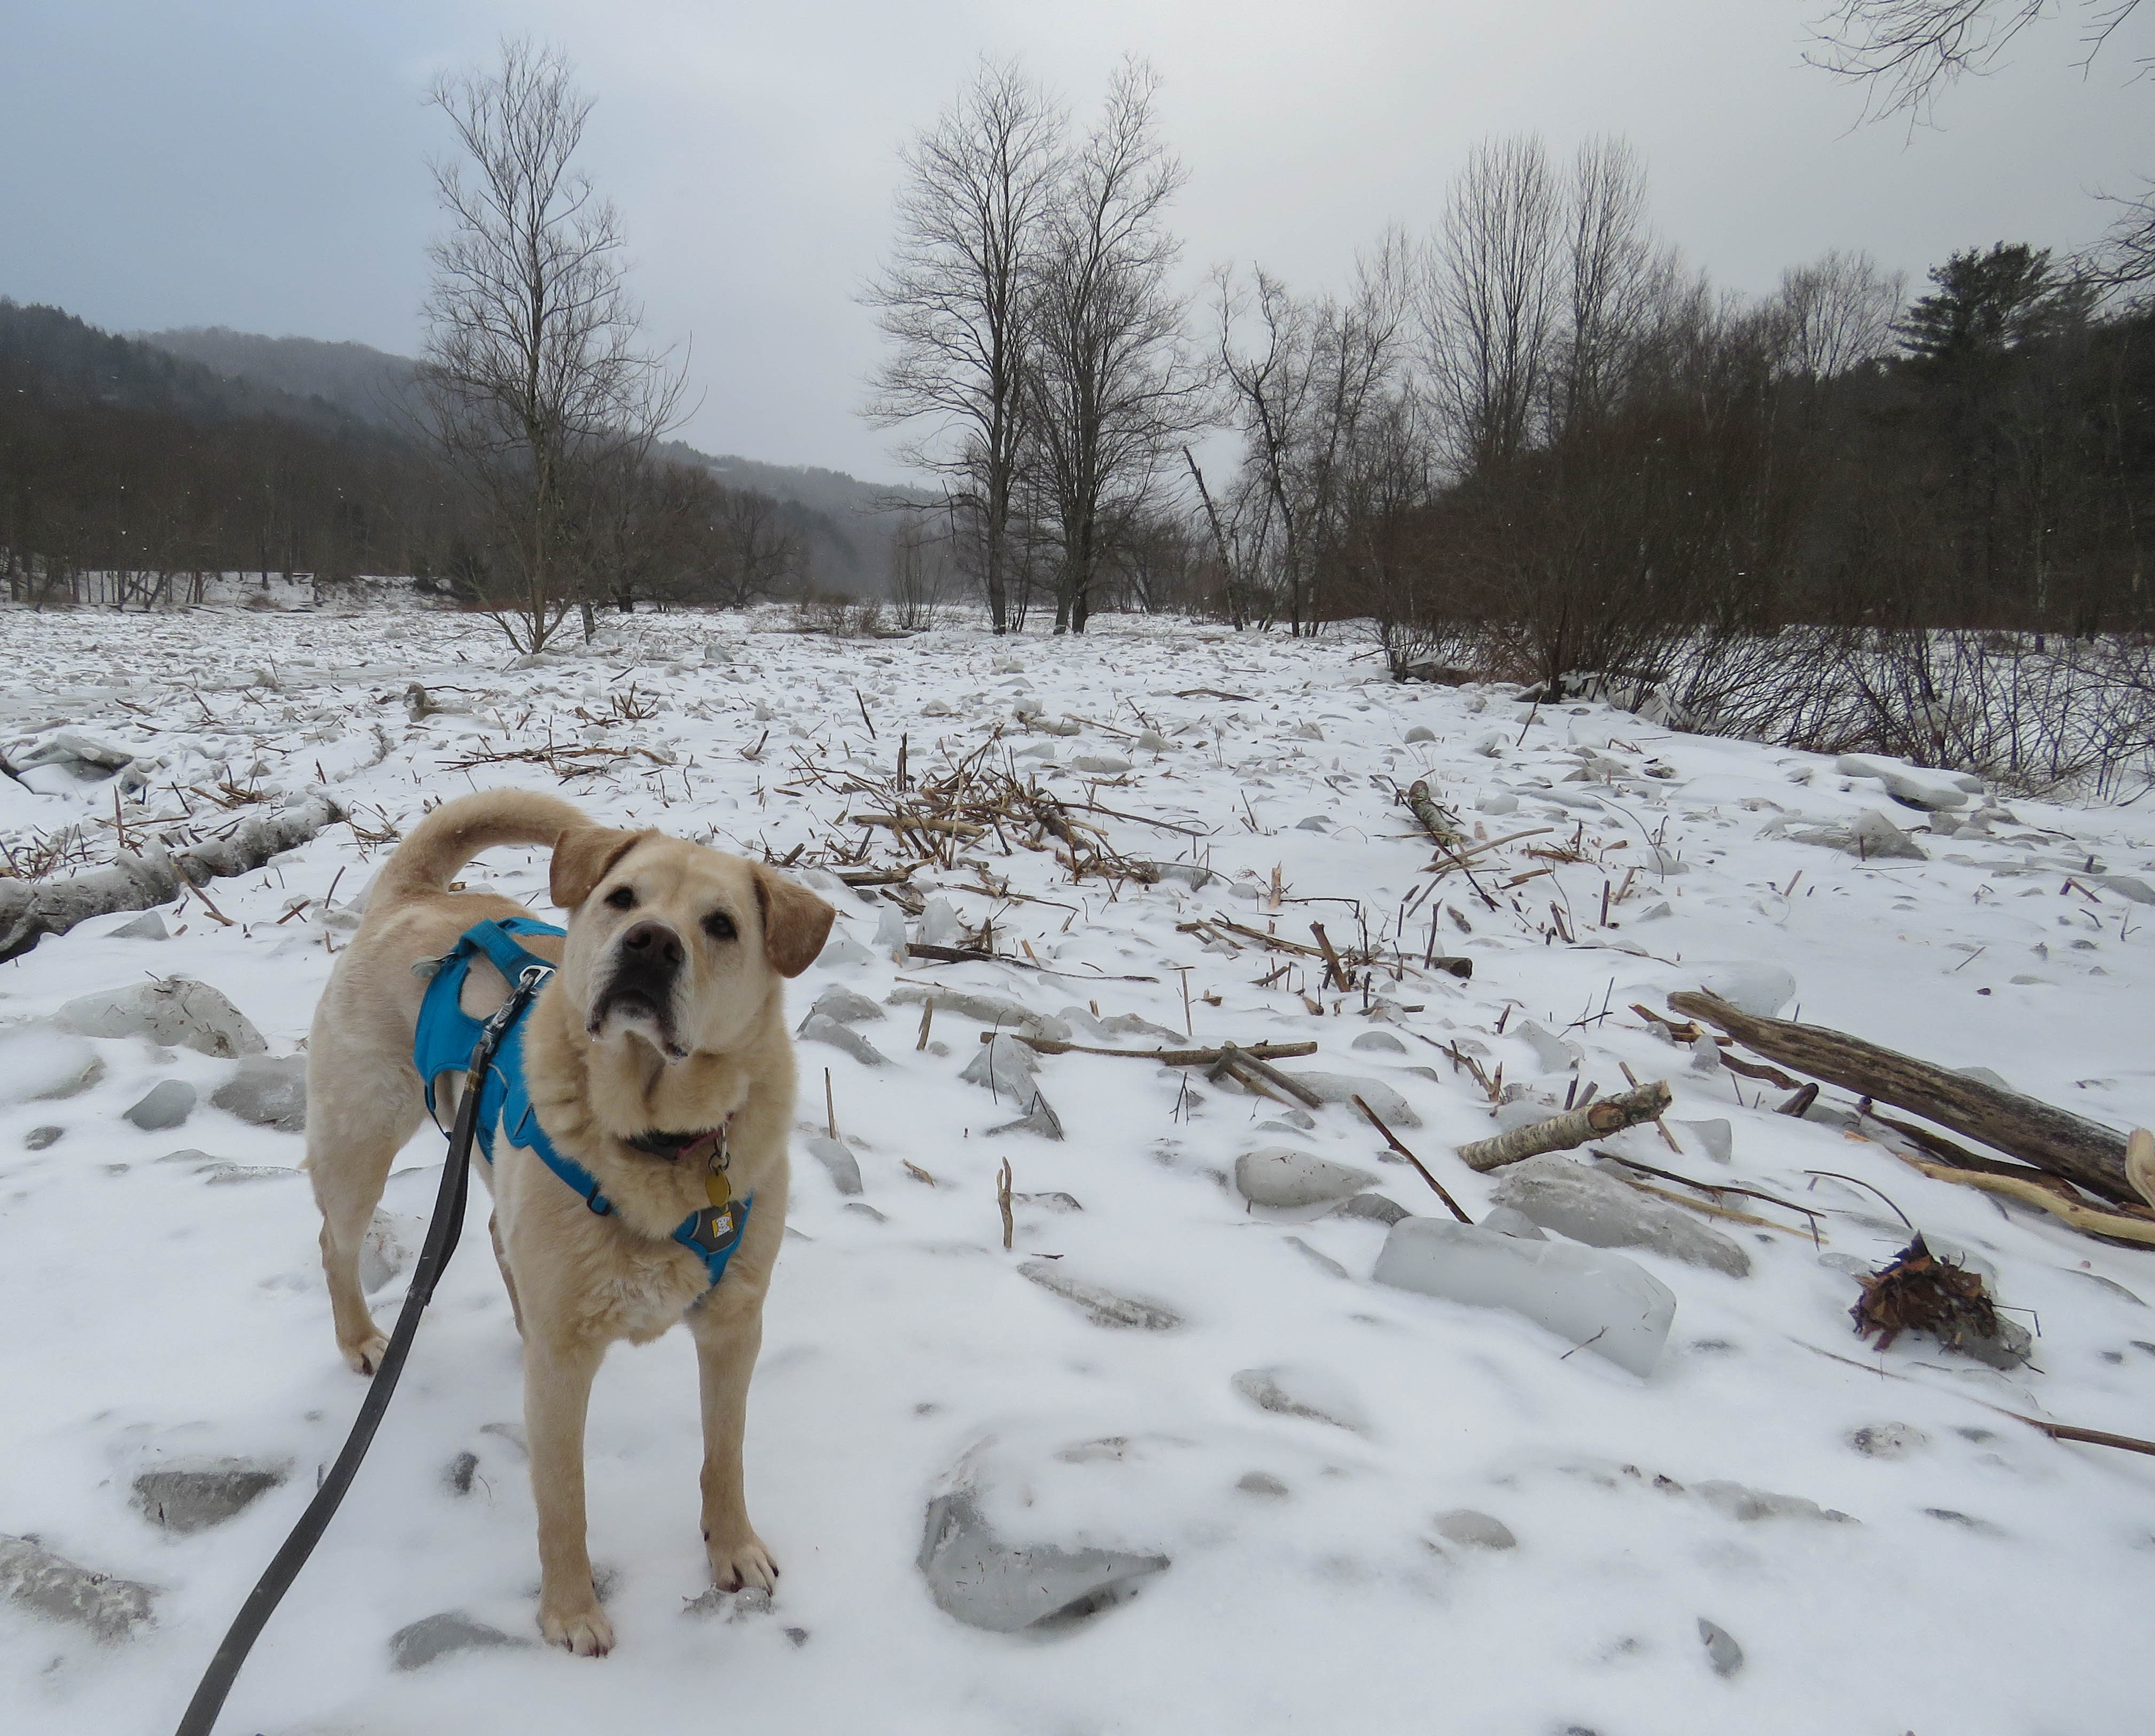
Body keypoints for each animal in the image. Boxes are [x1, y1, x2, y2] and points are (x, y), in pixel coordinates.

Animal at [305, 789, 833, 1653]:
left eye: (721, 925)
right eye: (622, 899)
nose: (650, 943)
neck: (657, 1140)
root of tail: (413, 897)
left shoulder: (735, 1326)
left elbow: (724, 1455)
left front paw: (732, 1546)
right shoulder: (563, 1373)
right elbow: (564, 1499)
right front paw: (570, 1612)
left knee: (498, 1241)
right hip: (359, 1141)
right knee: (336, 1239)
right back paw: (360, 1339)